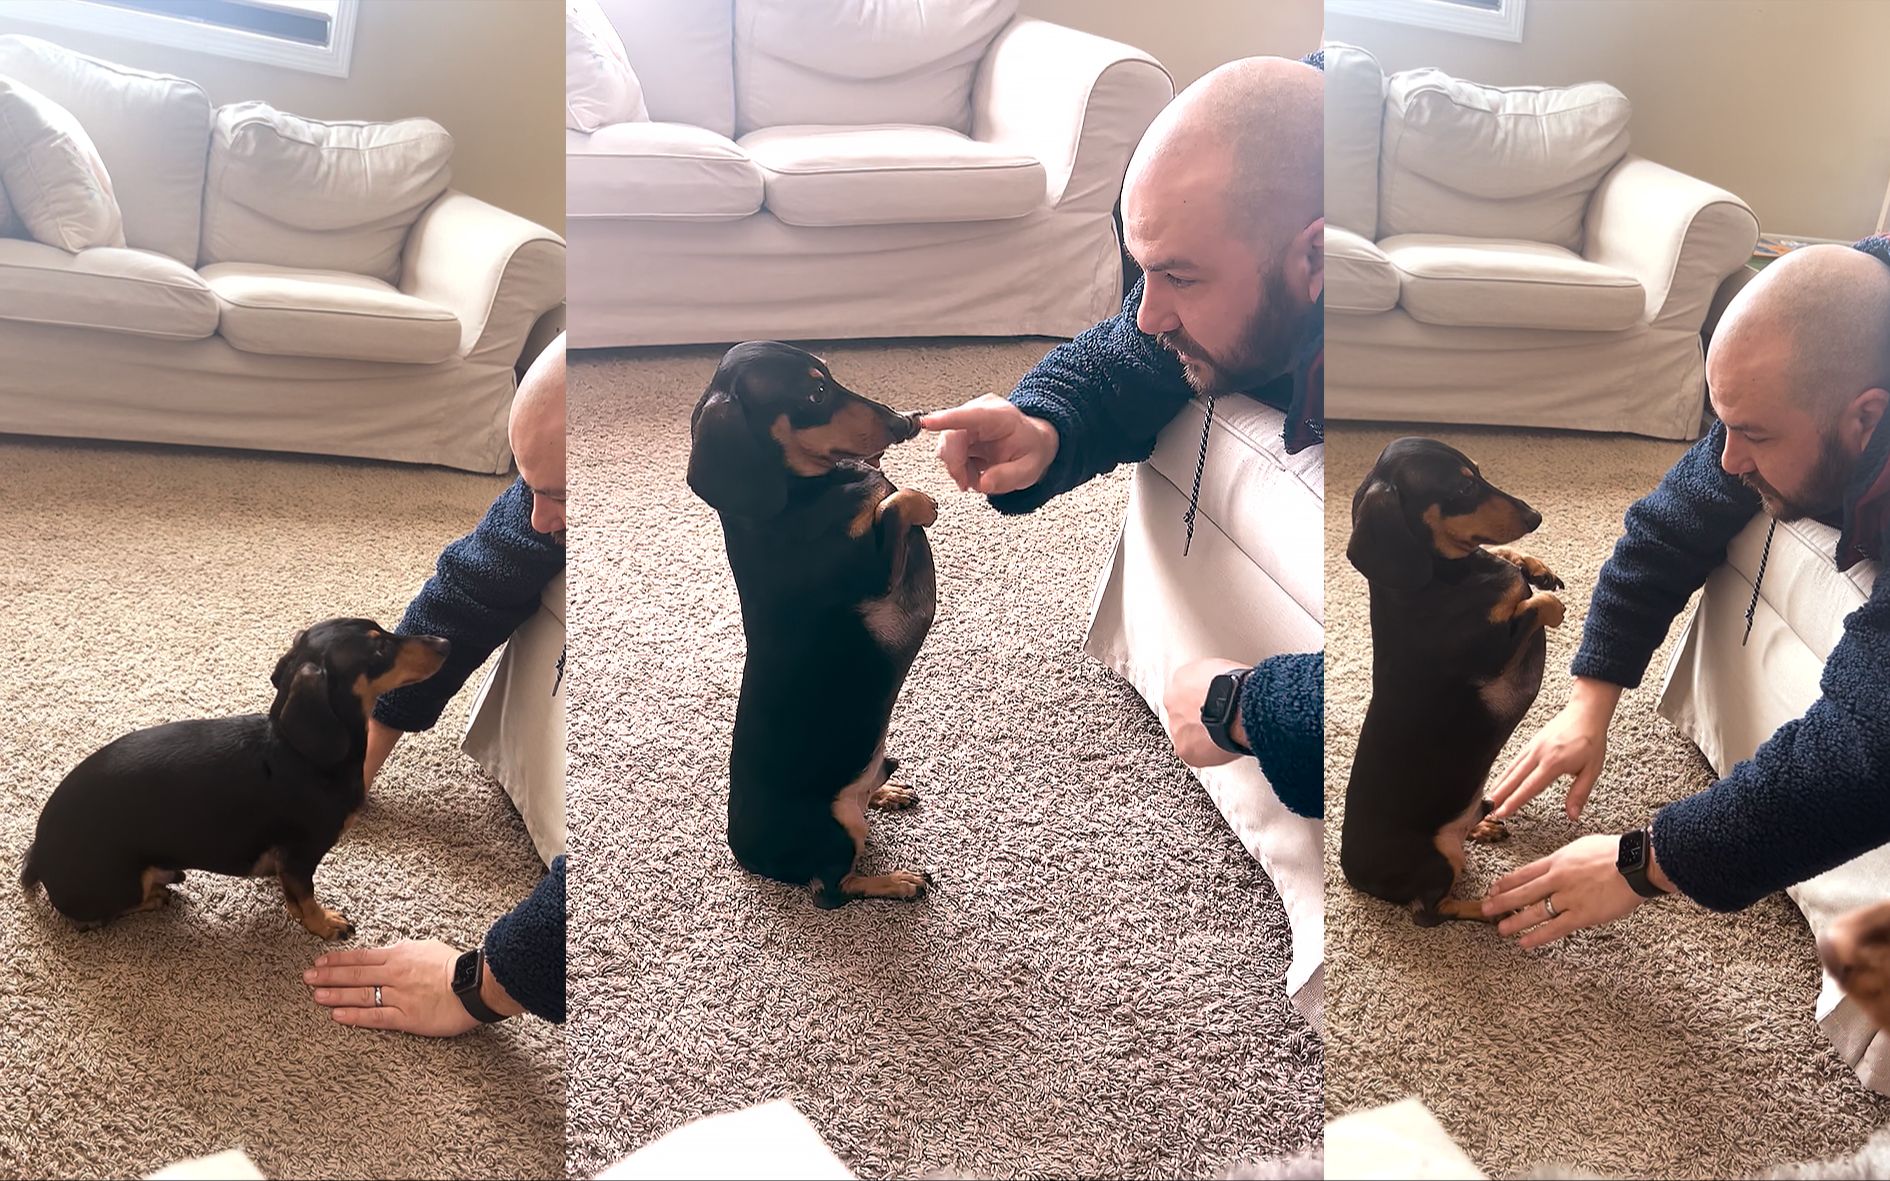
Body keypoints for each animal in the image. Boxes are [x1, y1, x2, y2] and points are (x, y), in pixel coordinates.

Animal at [20, 618, 448, 938]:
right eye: (379, 649)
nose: (445, 642)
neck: (301, 754)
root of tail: (38, 855)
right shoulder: (302, 853)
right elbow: (306, 896)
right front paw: (324, 924)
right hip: (120, 883)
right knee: (97, 917)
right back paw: (155, 897)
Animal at [687, 340, 938, 907]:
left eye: (830, 376)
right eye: (814, 394)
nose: (904, 420)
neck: (795, 501)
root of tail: (746, 854)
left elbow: (888, 495)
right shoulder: (873, 573)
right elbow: (897, 501)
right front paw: (925, 502)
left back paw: (887, 788)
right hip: (837, 829)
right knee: (835, 888)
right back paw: (898, 881)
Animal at [1341, 437, 1566, 925]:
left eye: (1479, 473)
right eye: (1462, 490)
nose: (1535, 517)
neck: (1440, 579)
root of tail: (1353, 874)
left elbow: (1515, 572)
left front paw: (1535, 566)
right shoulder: (1495, 652)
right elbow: (1533, 605)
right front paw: (1546, 599)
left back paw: (1483, 823)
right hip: (1437, 860)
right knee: (1433, 910)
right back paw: (1495, 906)